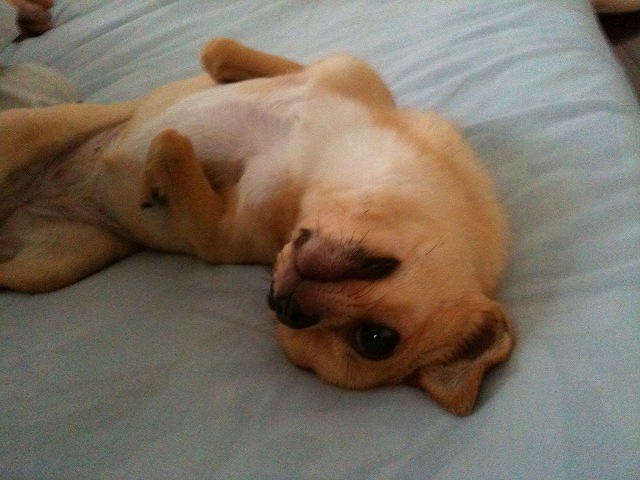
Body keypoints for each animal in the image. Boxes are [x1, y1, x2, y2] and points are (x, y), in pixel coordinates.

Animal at [0, 39, 514, 415]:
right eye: (379, 341)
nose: (286, 307)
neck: (323, 159)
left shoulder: (218, 234)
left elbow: (171, 144)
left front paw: (155, 180)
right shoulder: (338, 70)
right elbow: (218, 52)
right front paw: (224, 74)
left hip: (48, 269)